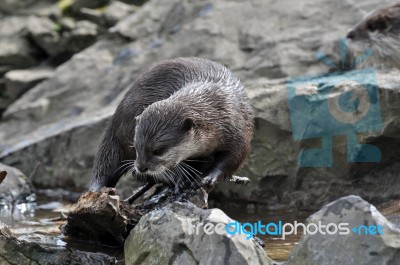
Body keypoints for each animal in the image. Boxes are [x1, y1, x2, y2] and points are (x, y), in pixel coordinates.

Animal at [89, 56, 255, 191]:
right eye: (135, 147)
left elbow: (235, 157)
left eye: (158, 150)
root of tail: (115, 121)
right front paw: (180, 176)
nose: (142, 167)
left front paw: (208, 177)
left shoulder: (238, 129)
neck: (217, 111)